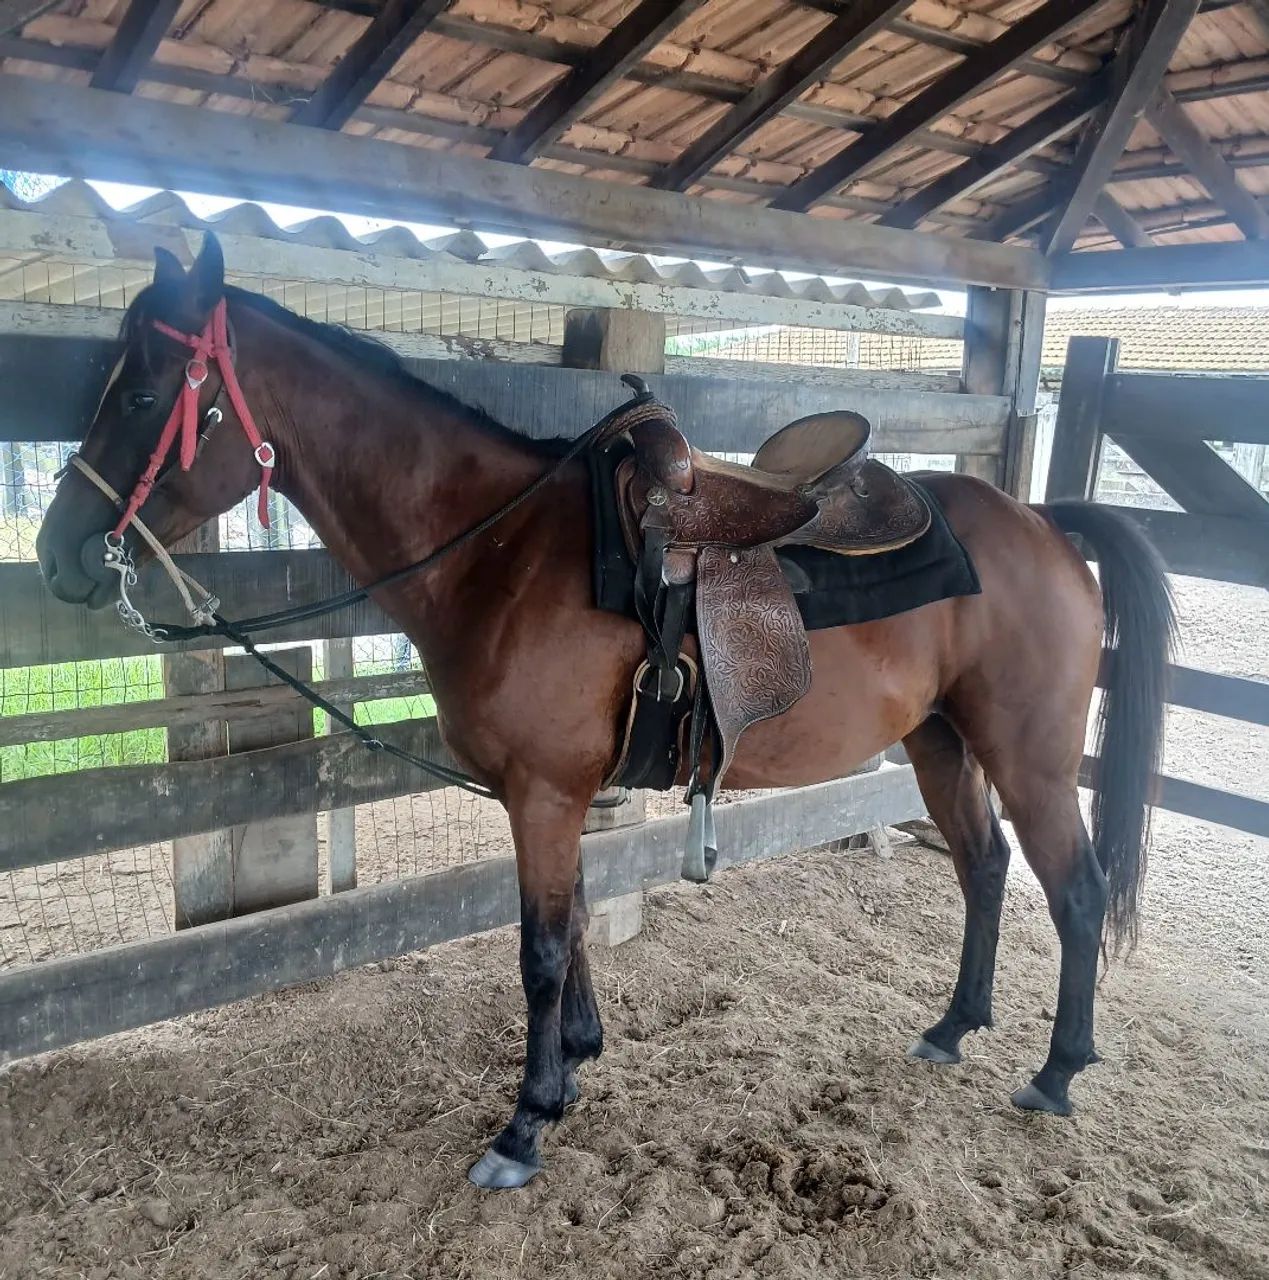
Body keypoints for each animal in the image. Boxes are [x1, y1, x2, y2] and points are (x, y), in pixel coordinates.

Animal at [35, 235, 1175, 1190]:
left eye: (143, 392)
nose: (57, 554)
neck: (498, 556)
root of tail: (1041, 520)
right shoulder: (554, 794)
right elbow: (574, 922)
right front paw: (577, 1062)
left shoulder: (543, 794)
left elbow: (540, 950)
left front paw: (526, 1120)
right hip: (941, 743)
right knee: (983, 867)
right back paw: (953, 1025)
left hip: (1029, 758)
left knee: (1076, 890)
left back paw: (1056, 1070)